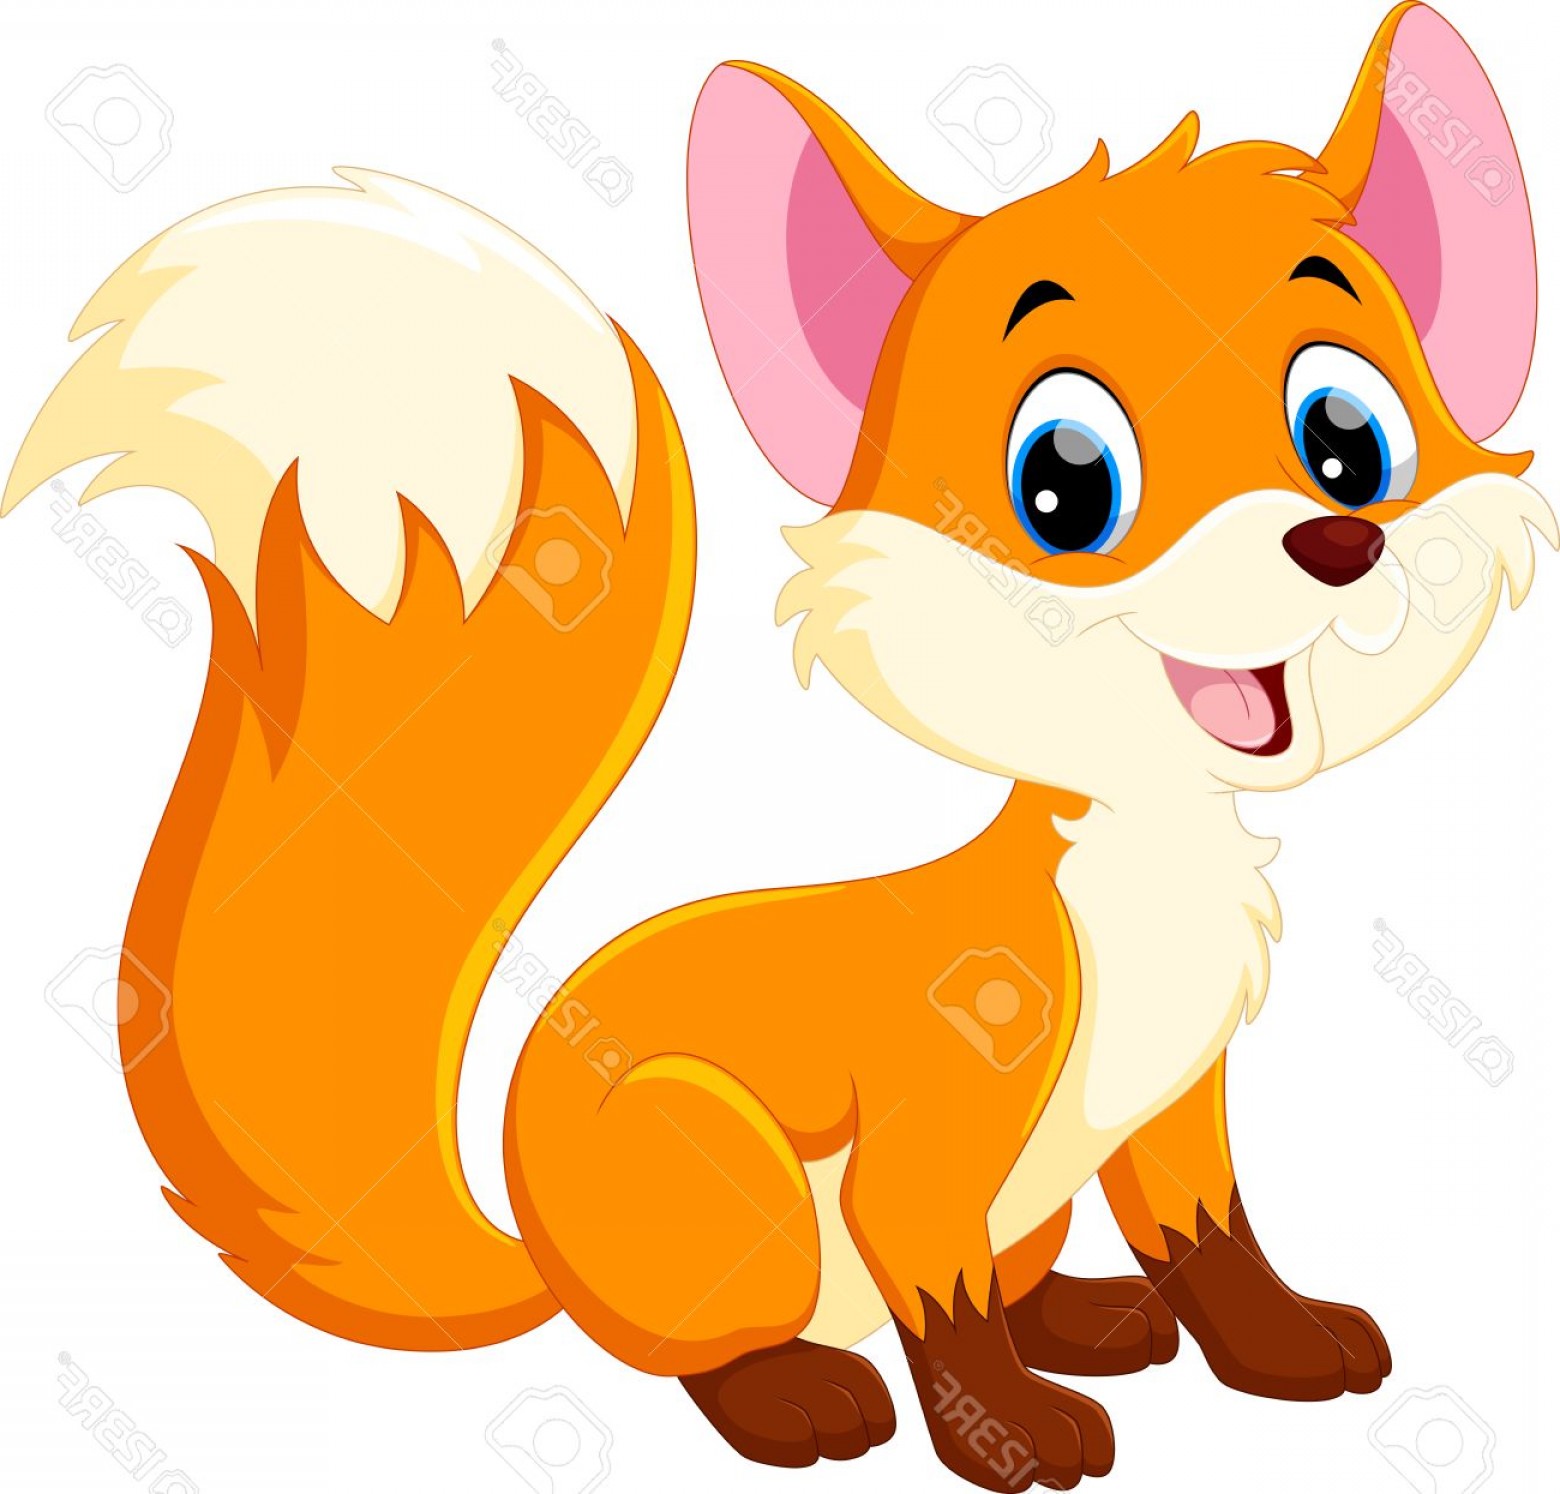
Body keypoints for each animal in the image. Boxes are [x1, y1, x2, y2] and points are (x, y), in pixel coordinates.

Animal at [5, 3, 1550, 1489]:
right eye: (1065, 484)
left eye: (1348, 440)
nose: (1338, 544)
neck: (1138, 872)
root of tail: (543, 1256)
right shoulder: (932, 1126)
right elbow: (939, 1290)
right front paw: (1005, 1435)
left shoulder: (1175, 1101)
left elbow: (1210, 1236)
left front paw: (1279, 1344)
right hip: (717, 1166)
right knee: (712, 1353)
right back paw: (801, 1396)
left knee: (1019, 1272)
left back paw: (1091, 1319)